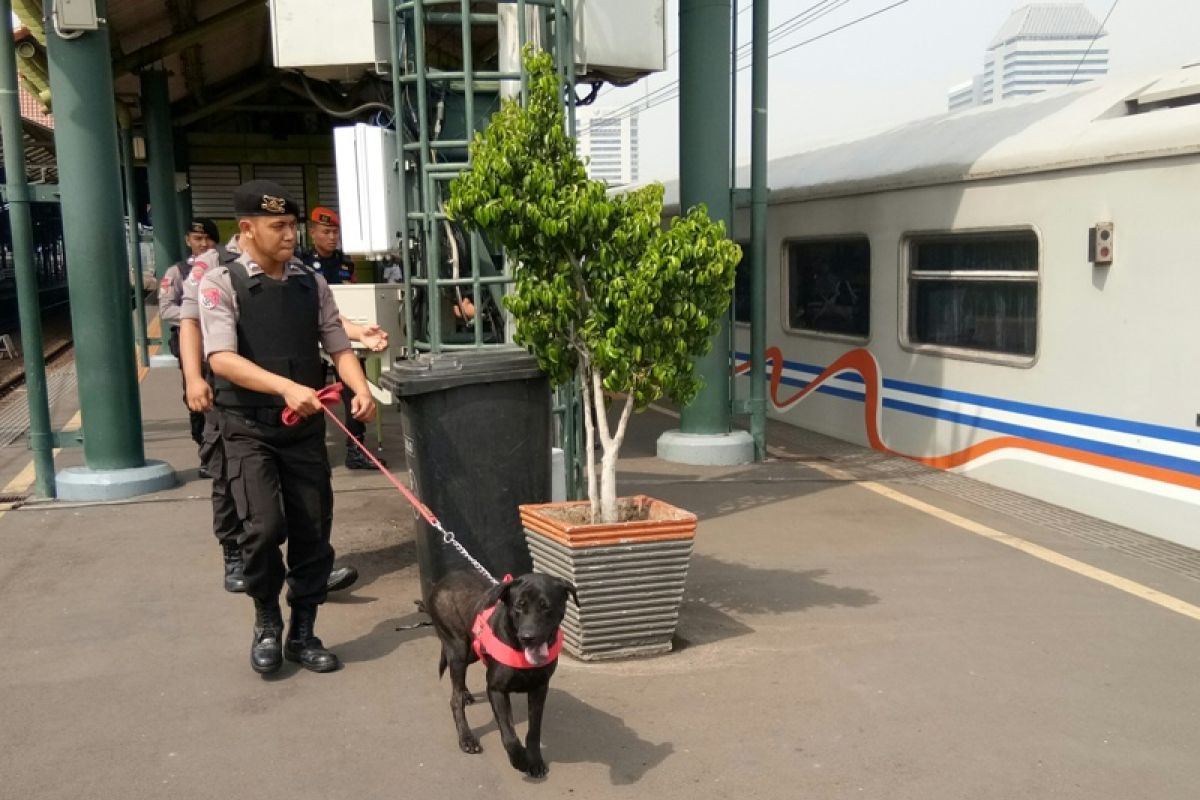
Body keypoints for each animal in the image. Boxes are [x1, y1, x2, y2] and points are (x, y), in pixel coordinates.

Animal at [427, 573, 576, 777]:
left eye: (546, 606)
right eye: (519, 605)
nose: (527, 637)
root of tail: (444, 579)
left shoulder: (539, 688)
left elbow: (534, 730)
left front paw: (535, 760)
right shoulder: (496, 690)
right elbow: (509, 734)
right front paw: (519, 759)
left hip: (472, 650)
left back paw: (466, 693)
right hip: (458, 649)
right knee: (454, 698)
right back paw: (466, 738)